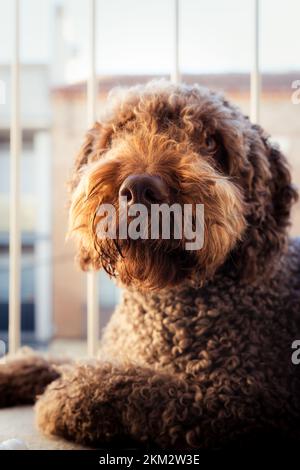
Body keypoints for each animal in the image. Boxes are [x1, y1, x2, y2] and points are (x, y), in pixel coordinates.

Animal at [0, 80, 300, 448]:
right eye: (120, 131)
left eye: (211, 141)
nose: (140, 187)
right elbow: (57, 360)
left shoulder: (241, 397)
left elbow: (141, 386)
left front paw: (70, 393)